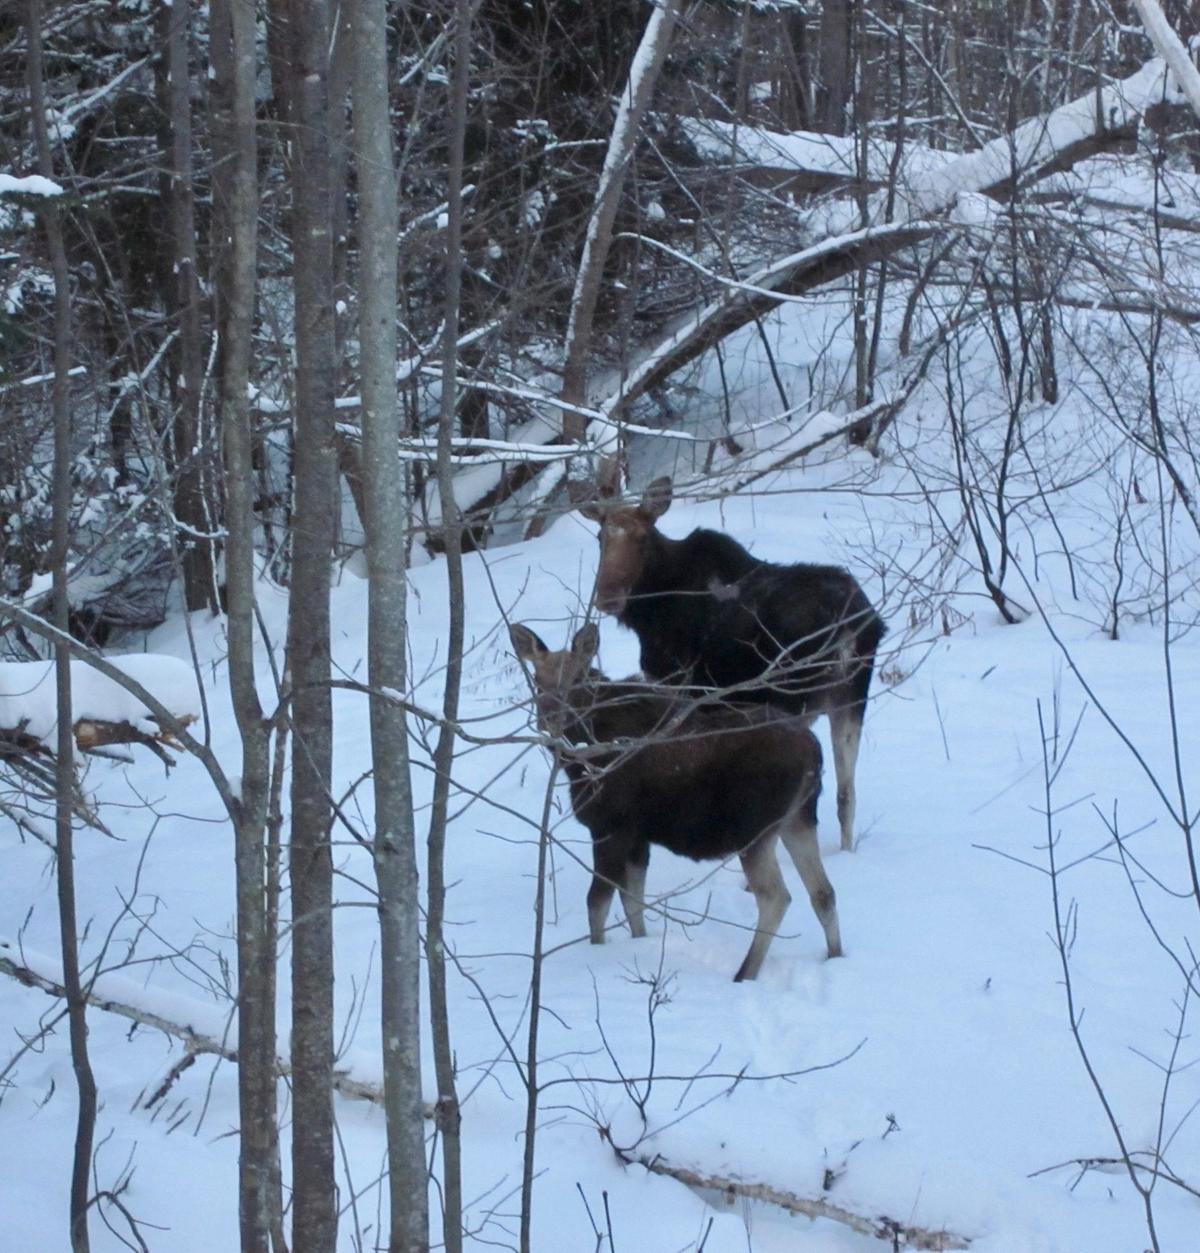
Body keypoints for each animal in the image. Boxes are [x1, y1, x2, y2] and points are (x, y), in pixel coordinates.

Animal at [511, 621, 841, 982]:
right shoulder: (638, 836)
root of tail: (813, 752)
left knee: (775, 896)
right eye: (537, 680)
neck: (580, 758)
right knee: (823, 891)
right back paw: (835, 956)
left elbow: (597, 904)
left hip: (755, 829)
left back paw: (745, 972)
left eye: (578, 679)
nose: (549, 721)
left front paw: (597, 952)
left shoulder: (609, 827)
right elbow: (633, 902)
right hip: (798, 818)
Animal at [586, 478, 886, 852]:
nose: (608, 597)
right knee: (846, 793)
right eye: (600, 538)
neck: (649, 612)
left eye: (642, 538)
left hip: (792, 695)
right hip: (851, 695)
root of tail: (850, 628)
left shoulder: (682, 687)